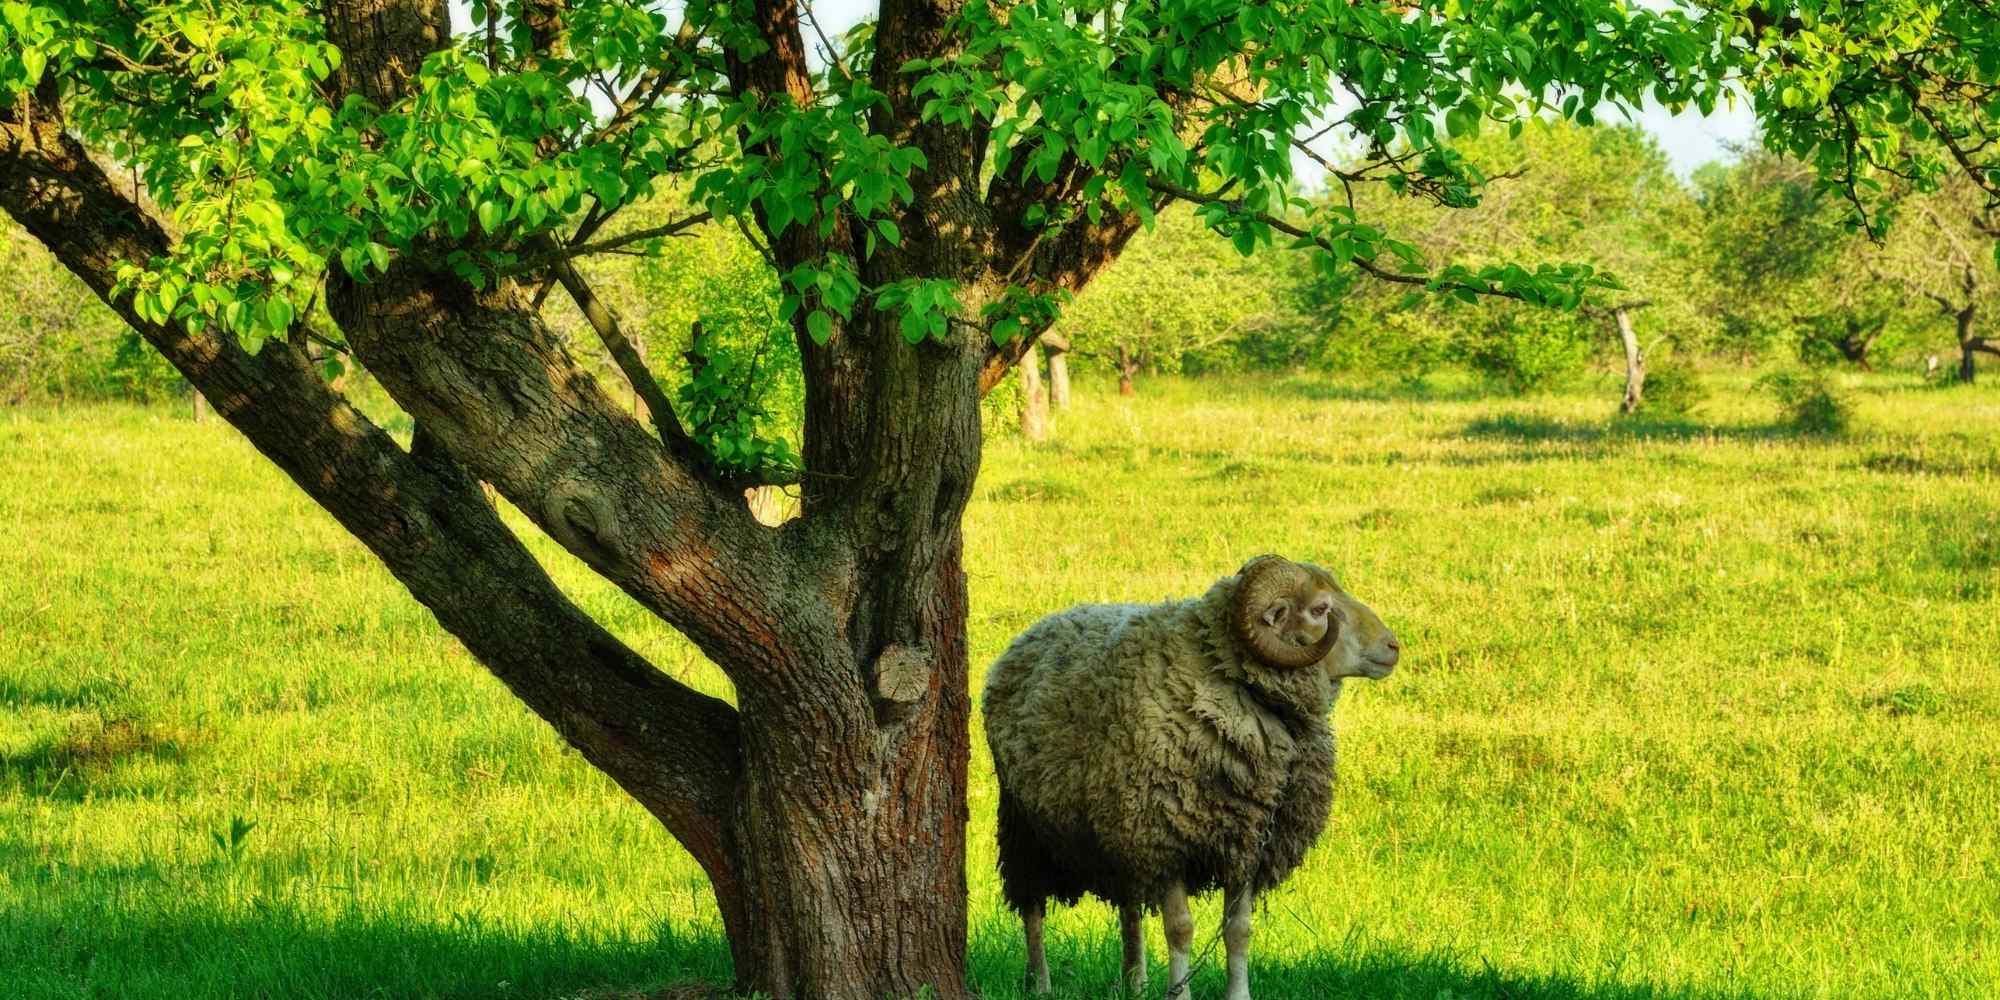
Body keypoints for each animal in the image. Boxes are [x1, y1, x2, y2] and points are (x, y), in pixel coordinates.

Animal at [982, 554, 1399, 1000]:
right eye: (1321, 610)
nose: (1393, 647)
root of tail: (1042, 625)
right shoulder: (1168, 841)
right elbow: (1180, 929)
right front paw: (1180, 992)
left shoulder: (1246, 845)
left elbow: (1239, 932)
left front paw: (1238, 994)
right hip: (1026, 825)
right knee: (1032, 907)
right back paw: (1041, 982)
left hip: (1118, 827)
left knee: (1129, 909)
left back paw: (1136, 980)